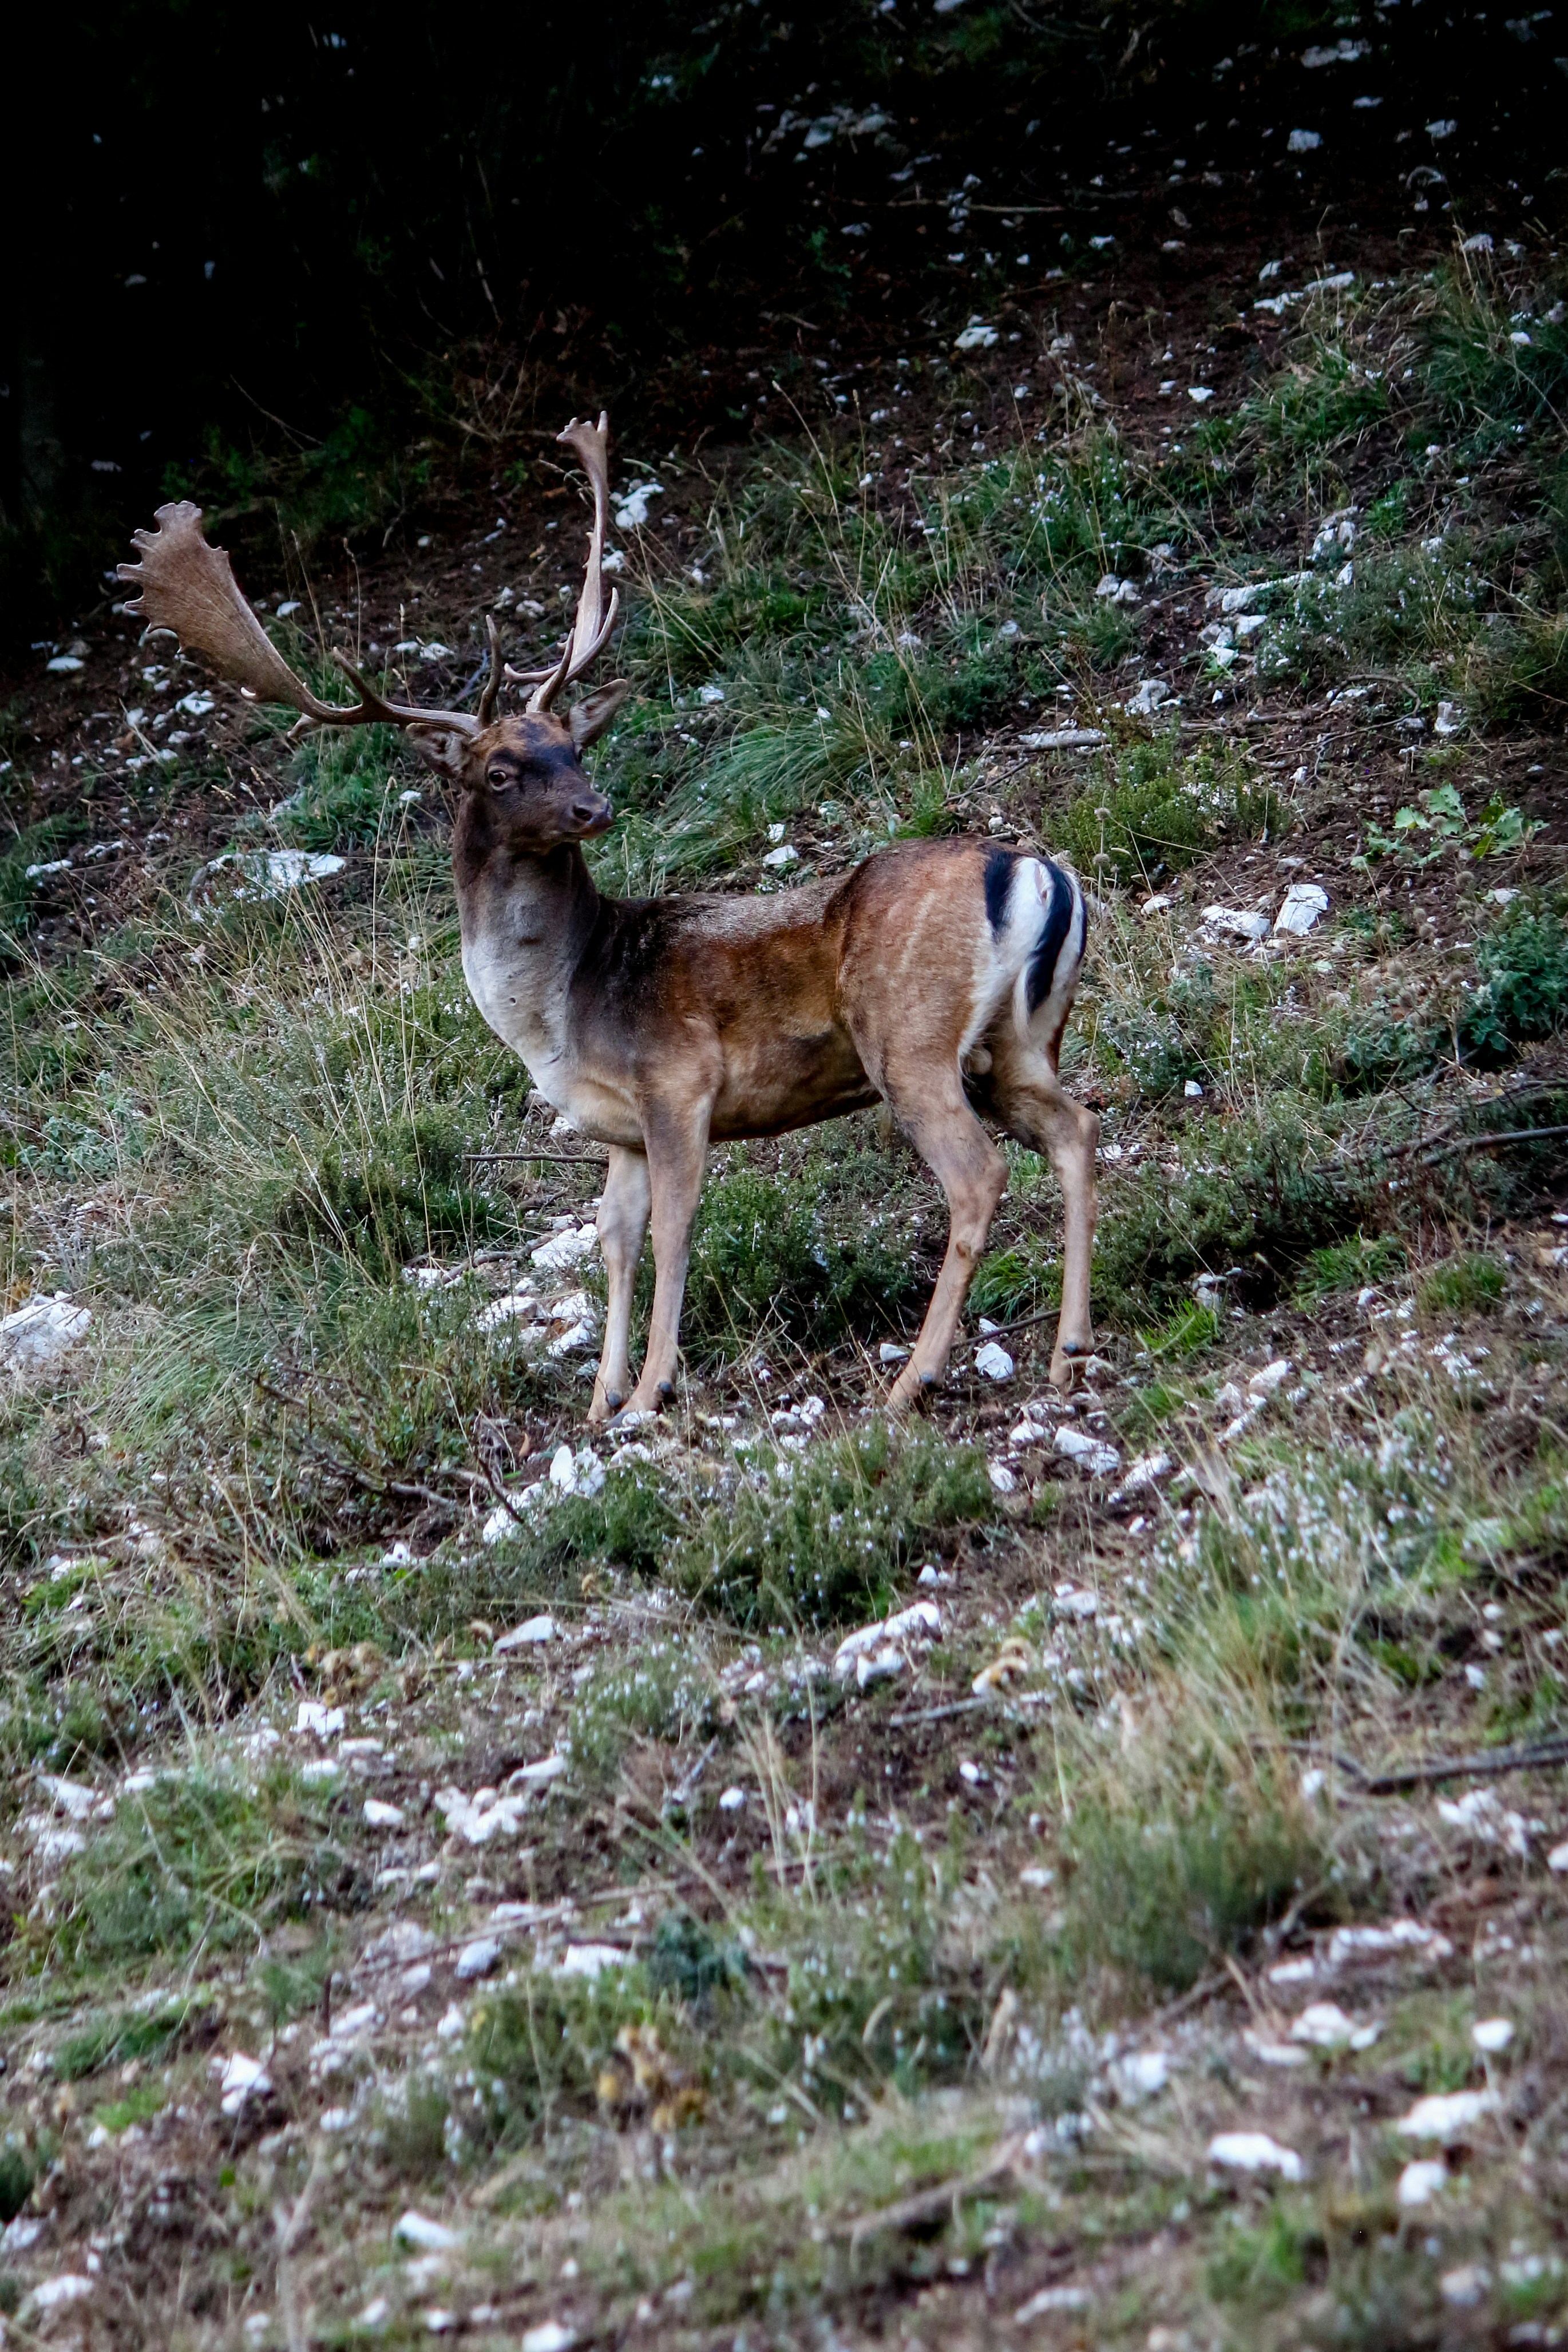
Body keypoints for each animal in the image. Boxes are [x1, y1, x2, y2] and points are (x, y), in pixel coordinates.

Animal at [118, 414, 1098, 1427]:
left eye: (573, 745)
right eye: (502, 770)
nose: (594, 806)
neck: (560, 1007)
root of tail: (1034, 871)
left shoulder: (678, 1079)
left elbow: (674, 1231)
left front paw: (649, 1390)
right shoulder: (619, 1127)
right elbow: (615, 1240)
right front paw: (601, 1398)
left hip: (909, 1035)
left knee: (979, 1175)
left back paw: (916, 1378)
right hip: (1022, 1041)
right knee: (1076, 1130)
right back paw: (1068, 1351)